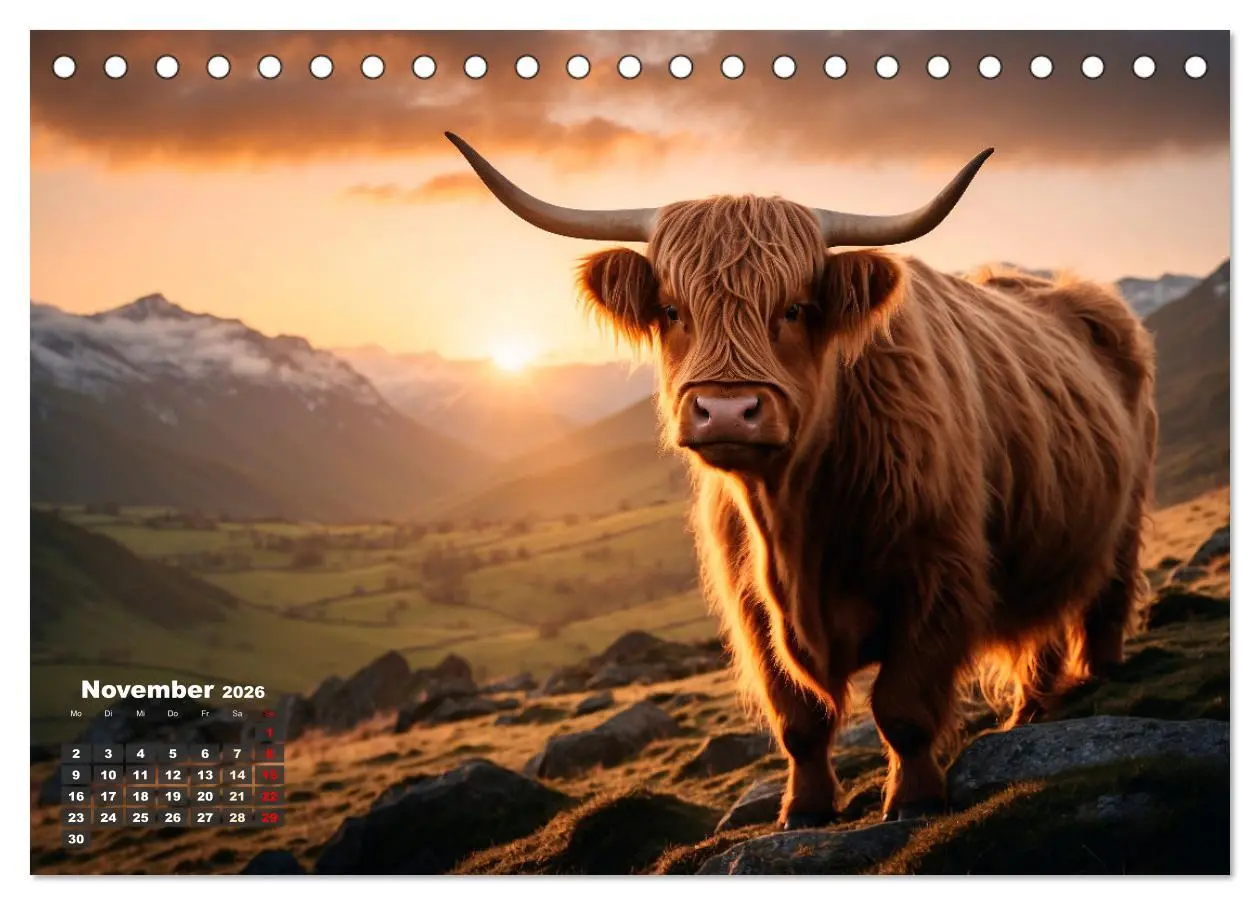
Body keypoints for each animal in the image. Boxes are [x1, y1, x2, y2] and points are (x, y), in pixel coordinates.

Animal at [445, 132, 1158, 828]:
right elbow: (799, 719)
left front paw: (913, 798)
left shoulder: (939, 573)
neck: (793, 517)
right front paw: (804, 810)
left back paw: (1097, 679)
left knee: (1103, 598)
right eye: (672, 310)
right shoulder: (750, 605)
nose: (726, 409)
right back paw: (1030, 710)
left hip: (1123, 518)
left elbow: (902, 705)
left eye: (794, 308)